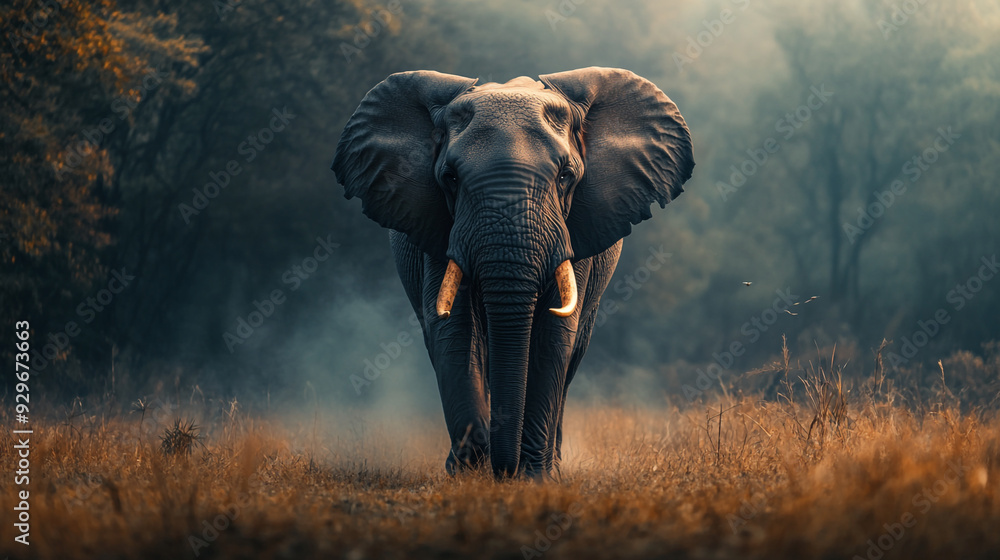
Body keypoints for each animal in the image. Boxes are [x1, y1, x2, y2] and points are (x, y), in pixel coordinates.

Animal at [332, 67, 694, 479]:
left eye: (565, 176)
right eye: (450, 177)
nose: (503, 469)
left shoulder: (576, 228)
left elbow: (553, 335)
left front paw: (534, 477)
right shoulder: (438, 227)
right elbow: (455, 330)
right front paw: (469, 474)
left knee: (572, 355)